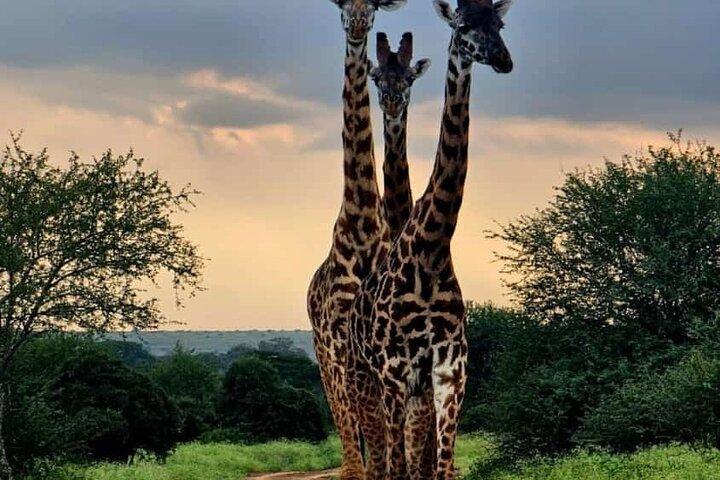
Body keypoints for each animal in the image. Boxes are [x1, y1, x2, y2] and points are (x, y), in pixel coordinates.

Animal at [347, 1, 514, 479]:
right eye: (464, 25)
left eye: (499, 23)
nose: (503, 59)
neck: (432, 248)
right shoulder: (394, 372)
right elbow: (399, 466)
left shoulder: (449, 372)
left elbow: (440, 467)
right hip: (364, 378)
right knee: (380, 460)